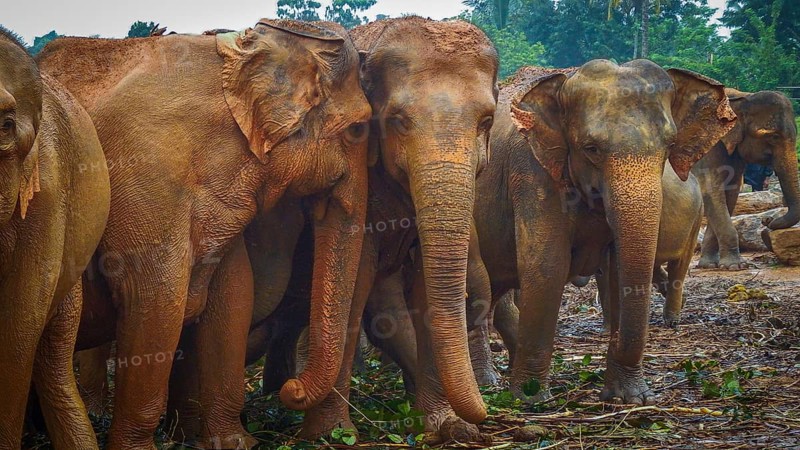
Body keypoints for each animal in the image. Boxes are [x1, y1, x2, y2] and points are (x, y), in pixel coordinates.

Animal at [36, 19, 371, 449]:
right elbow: (157, 296)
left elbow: (234, 293)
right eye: (359, 129)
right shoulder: (148, 173)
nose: (290, 390)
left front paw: (235, 443)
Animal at [243, 16, 499, 443]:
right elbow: (358, 276)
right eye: (398, 121)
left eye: (488, 121)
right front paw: (331, 434)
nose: (484, 417)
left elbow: (423, 283)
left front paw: (446, 426)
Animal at [471, 61, 735, 405]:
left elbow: (617, 270)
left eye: (669, 146)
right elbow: (546, 267)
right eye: (591, 148)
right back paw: (486, 385)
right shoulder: (531, 173)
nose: (622, 395)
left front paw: (630, 398)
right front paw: (530, 400)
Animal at [695, 88, 799, 270]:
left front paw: (709, 265)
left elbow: (730, 191)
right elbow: (711, 188)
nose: (767, 220)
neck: (741, 97)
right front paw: (735, 267)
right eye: (773, 137)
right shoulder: (707, 142)